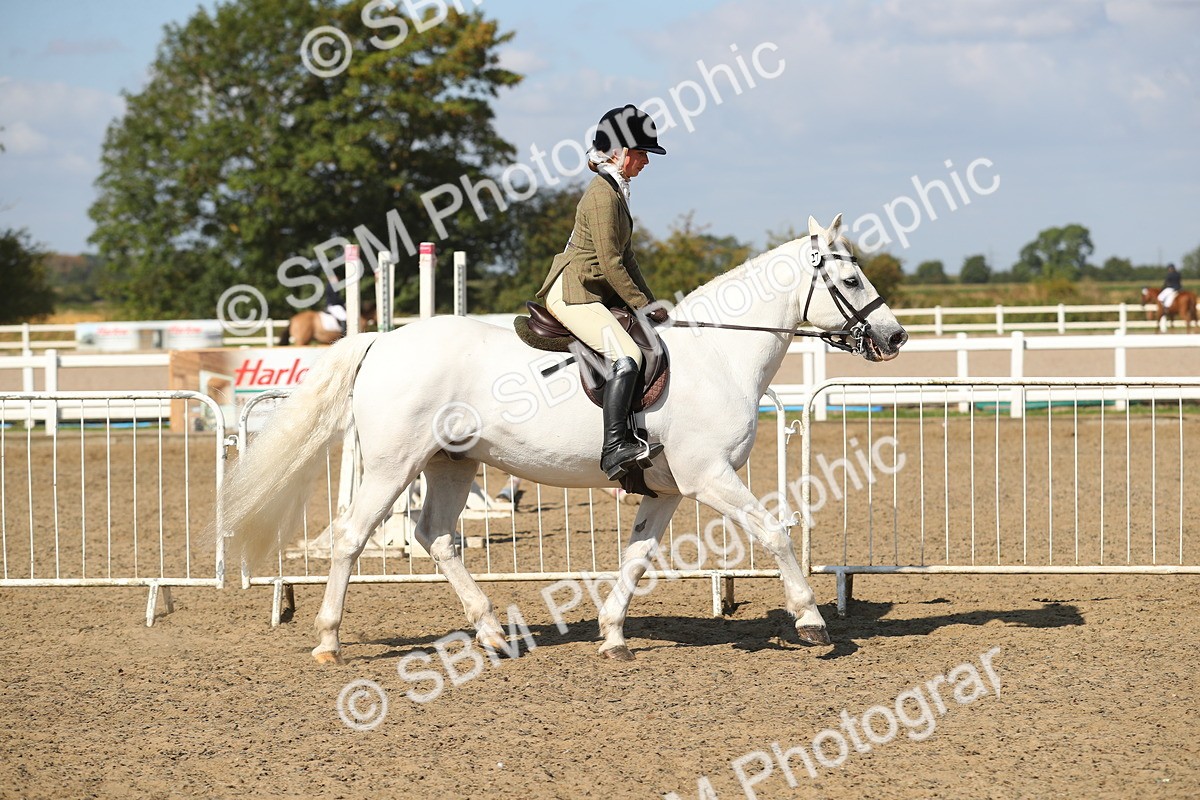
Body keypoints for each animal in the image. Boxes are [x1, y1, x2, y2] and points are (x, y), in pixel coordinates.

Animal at [221, 214, 908, 664]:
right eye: (850, 280)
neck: (719, 353)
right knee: (351, 538)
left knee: (437, 537)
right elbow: (775, 531)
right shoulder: (709, 476)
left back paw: (492, 635)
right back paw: (328, 641)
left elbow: (637, 556)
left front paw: (613, 634)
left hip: (450, 463)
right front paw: (812, 621)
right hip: (393, 466)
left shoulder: (668, 489)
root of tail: (383, 341)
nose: (894, 337)